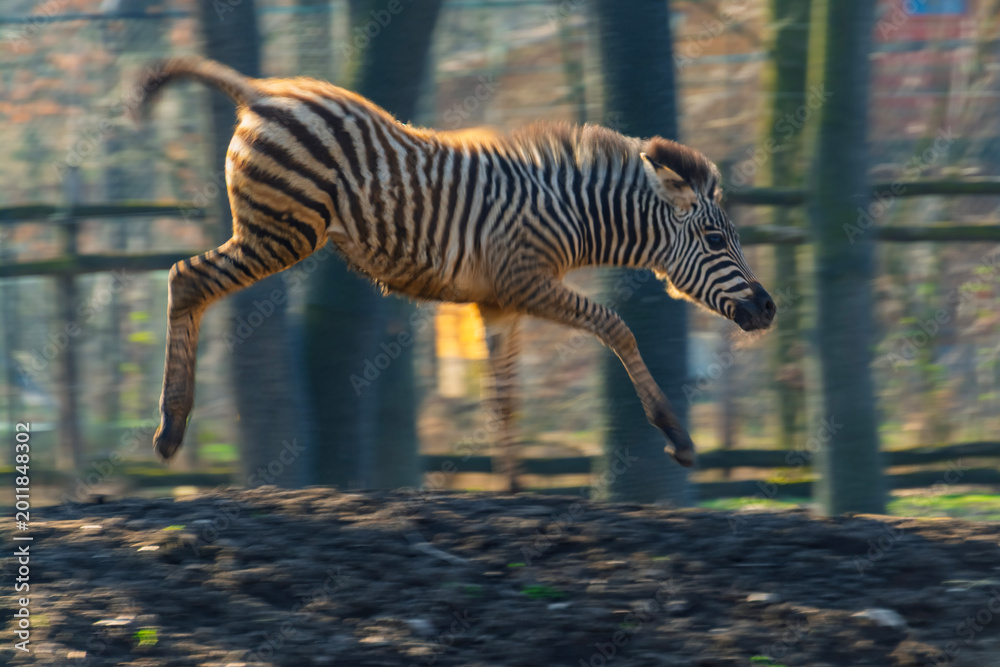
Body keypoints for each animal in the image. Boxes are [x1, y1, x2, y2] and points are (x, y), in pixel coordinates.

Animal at [136, 57, 776, 491]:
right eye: (716, 240)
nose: (768, 308)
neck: (569, 214)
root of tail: (262, 92)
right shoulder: (526, 281)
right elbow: (616, 328)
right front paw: (679, 437)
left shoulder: (499, 303)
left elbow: (503, 398)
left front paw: (513, 489)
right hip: (282, 232)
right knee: (186, 277)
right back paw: (170, 430)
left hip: (275, 231)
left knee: (189, 281)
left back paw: (170, 429)